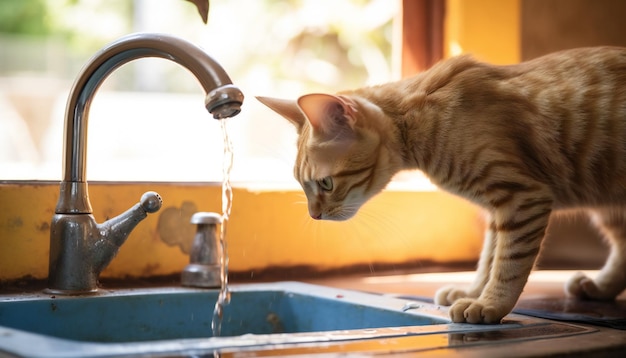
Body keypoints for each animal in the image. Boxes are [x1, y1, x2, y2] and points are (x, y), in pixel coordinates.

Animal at [256, 47, 624, 324]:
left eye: (326, 183)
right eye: (302, 185)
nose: (314, 215)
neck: (418, 119)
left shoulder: (522, 197)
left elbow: (508, 262)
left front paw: (490, 304)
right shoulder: (499, 210)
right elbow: (490, 256)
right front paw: (473, 291)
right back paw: (599, 287)